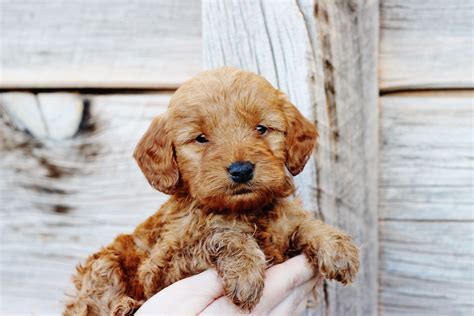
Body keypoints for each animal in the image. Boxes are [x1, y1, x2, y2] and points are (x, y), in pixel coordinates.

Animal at [64, 67, 360, 316]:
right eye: (201, 138)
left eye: (261, 128)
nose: (241, 169)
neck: (245, 210)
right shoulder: (161, 269)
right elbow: (219, 235)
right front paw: (246, 272)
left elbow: (299, 222)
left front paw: (335, 246)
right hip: (103, 265)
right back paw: (124, 306)